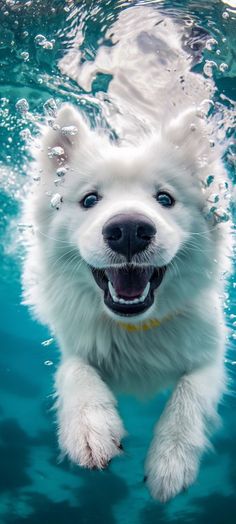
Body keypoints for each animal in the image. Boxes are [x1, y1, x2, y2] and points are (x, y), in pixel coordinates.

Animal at [22, 8, 232, 502]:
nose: (130, 231)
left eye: (165, 199)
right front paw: (91, 428)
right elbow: (75, 373)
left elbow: (189, 396)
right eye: (90, 200)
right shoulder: (72, 342)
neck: (135, 329)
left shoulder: (212, 357)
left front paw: (170, 462)